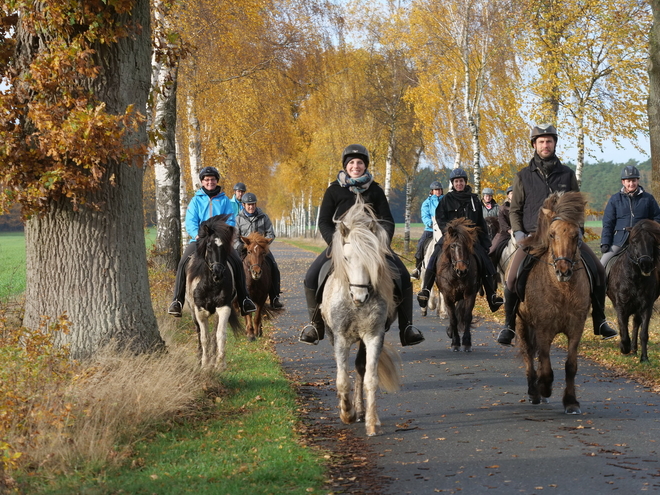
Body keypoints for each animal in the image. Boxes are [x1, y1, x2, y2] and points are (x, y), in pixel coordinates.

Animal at [186, 215, 242, 370]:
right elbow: (203, 337)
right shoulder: (199, 310)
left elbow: (220, 335)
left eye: (225, 247)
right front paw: (205, 364)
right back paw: (200, 358)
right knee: (199, 332)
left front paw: (220, 363)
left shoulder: (224, 308)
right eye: (209, 246)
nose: (218, 273)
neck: (210, 283)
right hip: (192, 311)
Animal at [320, 198, 400, 438]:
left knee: (360, 368)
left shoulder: (374, 336)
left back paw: (362, 410)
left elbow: (370, 379)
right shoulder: (340, 338)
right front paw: (346, 413)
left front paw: (371, 422)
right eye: (346, 258)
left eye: (373, 259)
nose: (360, 296)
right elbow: (342, 380)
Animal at [436, 217, 482, 352]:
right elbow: (453, 318)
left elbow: (466, 316)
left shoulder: (470, 295)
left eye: (467, 245)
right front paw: (455, 342)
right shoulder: (447, 297)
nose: (462, 270)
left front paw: (467, 342)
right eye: (452, 246)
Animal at [516, 192, 588, 416]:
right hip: (522, 323)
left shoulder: (576, 328)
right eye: (551, 235)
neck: (562, 290)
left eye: (576, 236)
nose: (563, 271)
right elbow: (546, 363)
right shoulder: (543, 329)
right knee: (528, 353)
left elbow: (570, 365)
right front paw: (544, 387)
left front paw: (571, 402)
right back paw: (534, 391)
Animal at [604, 221, 660, 364]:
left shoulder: (646, 306)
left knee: (635, 324)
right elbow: (623, 330)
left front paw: (644, 358)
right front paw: (624, 348)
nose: (645, 264)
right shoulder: (621, 306)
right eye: (634, 241)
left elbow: (643, 334)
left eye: (652, 241)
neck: (635, 278)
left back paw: (634, 349)